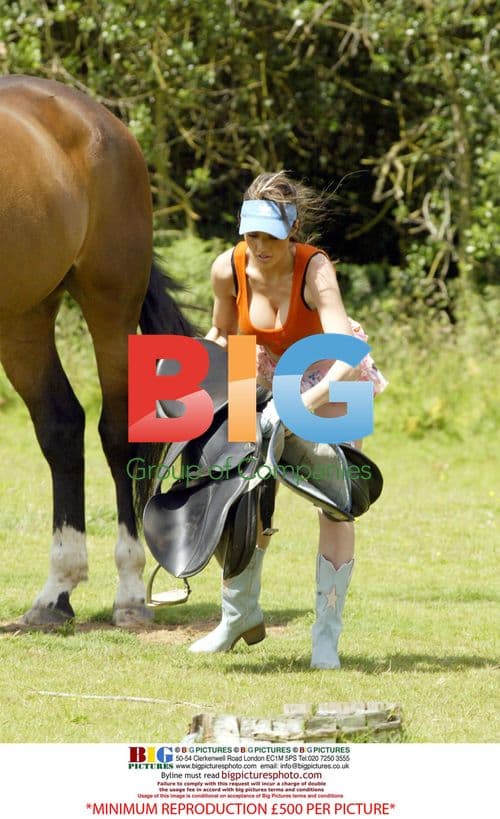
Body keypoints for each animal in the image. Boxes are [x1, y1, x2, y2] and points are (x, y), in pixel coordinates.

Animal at [0, 75, 195, 628]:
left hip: (110, 307)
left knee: (117, 434)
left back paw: (128, 595)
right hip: (23, 318)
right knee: (61, 425)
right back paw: (55, 596)